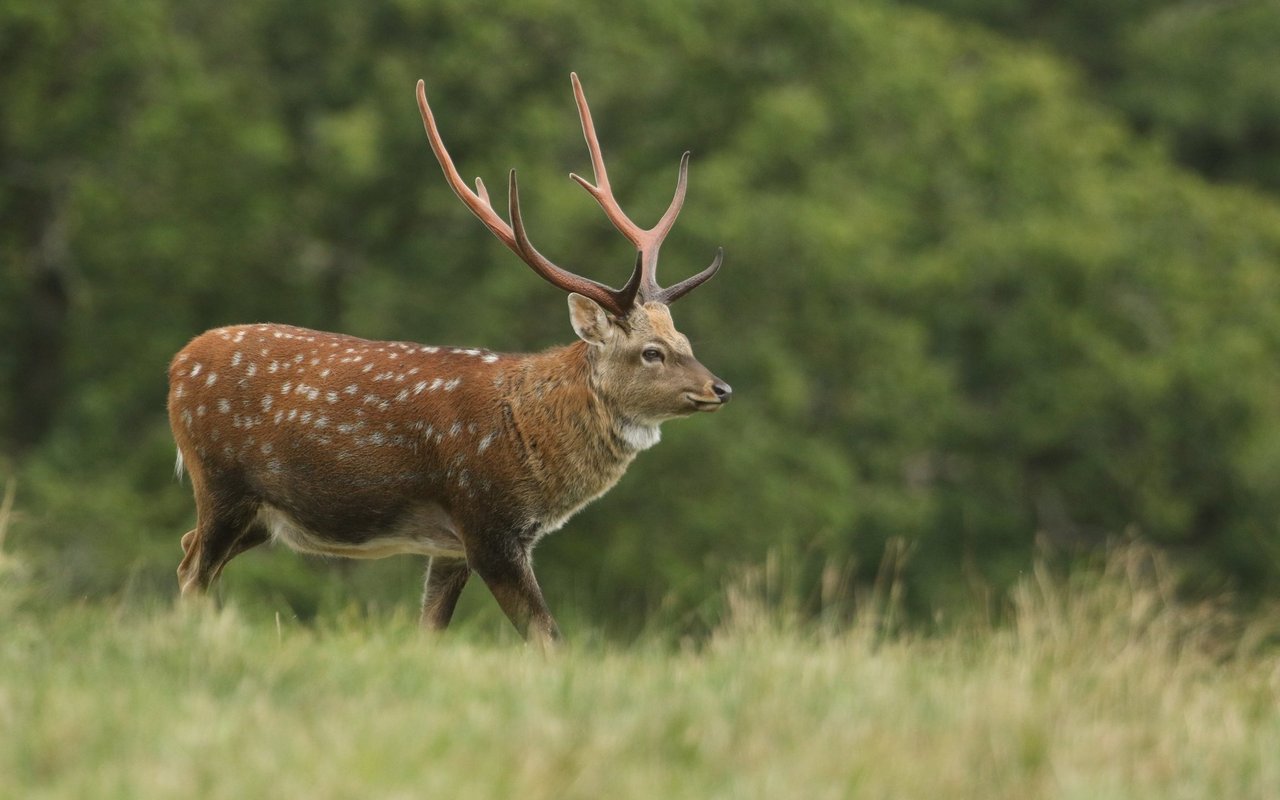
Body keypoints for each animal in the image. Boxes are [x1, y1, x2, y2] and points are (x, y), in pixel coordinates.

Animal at [167, 73, 732, 650]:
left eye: (684, 338)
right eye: (651, 352)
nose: (720, 389)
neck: (525, 434)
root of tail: (179, 363)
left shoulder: (449, 546)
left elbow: (431, 630)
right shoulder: (485, 522)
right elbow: (548, 636)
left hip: (257, 513)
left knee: (187, 551)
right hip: (221, 480)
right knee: (192, 571)